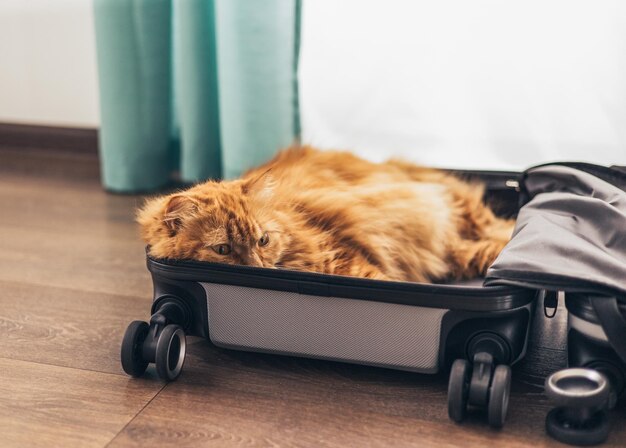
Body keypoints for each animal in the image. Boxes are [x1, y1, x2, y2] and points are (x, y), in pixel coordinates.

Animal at [139, 149, 516, 286]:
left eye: (263, 240)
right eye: (222, 250)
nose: (257, 269)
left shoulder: (352, 262)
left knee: (501, 232)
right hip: (456, 253)